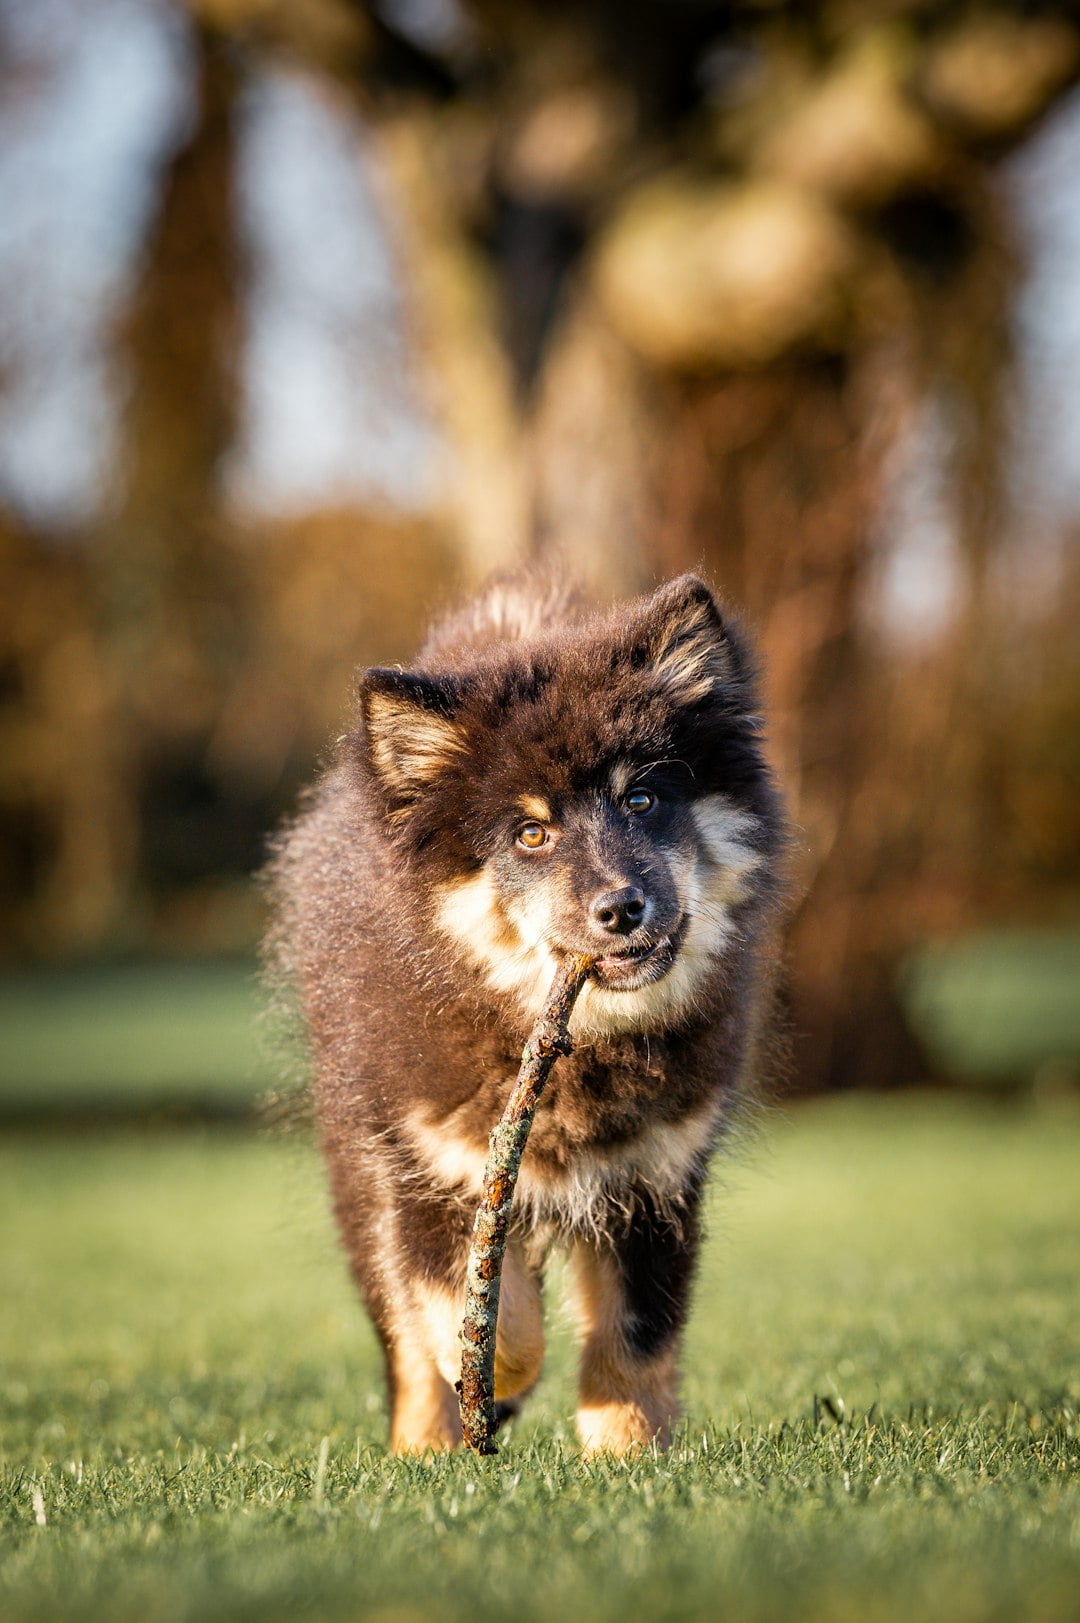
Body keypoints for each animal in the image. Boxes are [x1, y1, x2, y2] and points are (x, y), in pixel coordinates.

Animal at [264, 574, 779, 1460]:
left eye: (642, 798)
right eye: (532, 832)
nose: (622, 907)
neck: (580, 1046)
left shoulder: (655, 1176)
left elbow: (636, 1333)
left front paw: (627, 1448)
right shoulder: (433, 1169)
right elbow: (477, 1319)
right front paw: (496, 1381)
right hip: (361, 1175)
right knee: (403, 1335)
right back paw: (427, 1444)